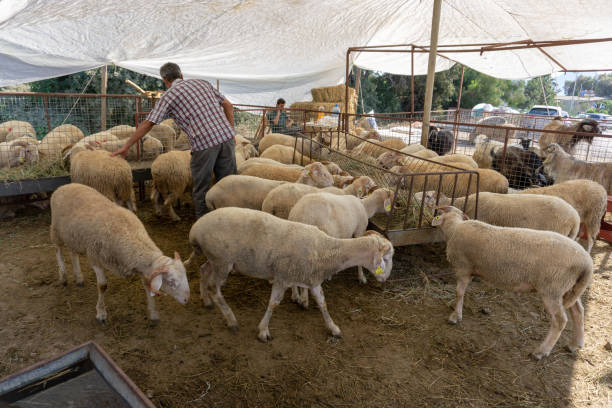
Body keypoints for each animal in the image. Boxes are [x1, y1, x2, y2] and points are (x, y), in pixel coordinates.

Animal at [50, 184, 189, 322]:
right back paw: (63, 277)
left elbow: (146, 284)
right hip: (56, 231)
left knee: (73, 253)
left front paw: (153, 313)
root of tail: (63, 186)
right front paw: (101, 312)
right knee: (58, 250)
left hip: (72, 236)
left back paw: (79, 277)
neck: (130, 235)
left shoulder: (139, 266)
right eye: (170, 282)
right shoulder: (95, 257)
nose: (187, 300)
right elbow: (102, 286)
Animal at [184, 207, 392, 342]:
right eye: (387, 258)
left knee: (203, 269)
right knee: (214, 288)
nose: (384, 280)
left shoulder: (312, 279)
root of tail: (195, 230)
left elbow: (322, 302)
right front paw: (263, 331)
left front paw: (333, 328)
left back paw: (206, 300)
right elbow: (273, 303)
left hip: (215, 259)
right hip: (222, 260)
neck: (325, 249)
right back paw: (231, 319)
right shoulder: (283, 277)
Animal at [430, 206, 592, 358]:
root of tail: (587, 263)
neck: (454, 229)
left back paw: (541, 351)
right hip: (568, 288)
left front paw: (455, 316)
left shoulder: (463, 268)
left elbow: (459, 292)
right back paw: (575, 344)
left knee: (560, 321)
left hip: (553, 288)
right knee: (578, 311)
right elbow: (461, 292)